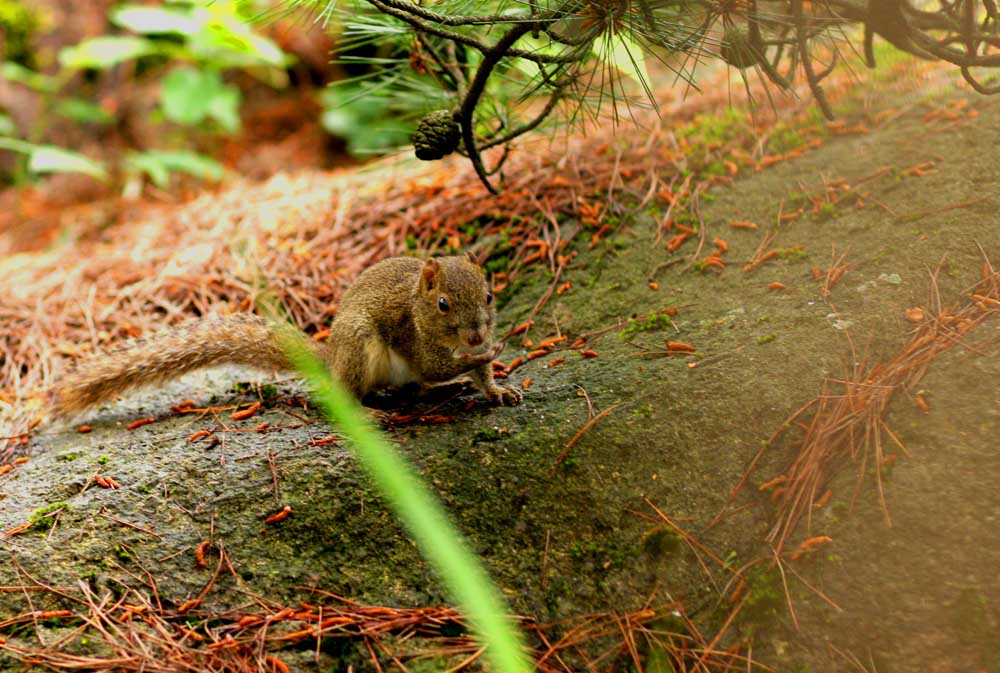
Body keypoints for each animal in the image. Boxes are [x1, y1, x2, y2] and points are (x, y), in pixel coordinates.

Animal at [48, 256, 524, 420]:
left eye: (489, 295)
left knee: (419, 387)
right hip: (360, 346)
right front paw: (481, 361)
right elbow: (436, 364)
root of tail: (331, 357)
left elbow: (477, 374)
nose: (478, 334)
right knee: (349, 393)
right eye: (443, 304)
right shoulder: (417, 340)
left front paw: (497, 388)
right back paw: (369, 413)